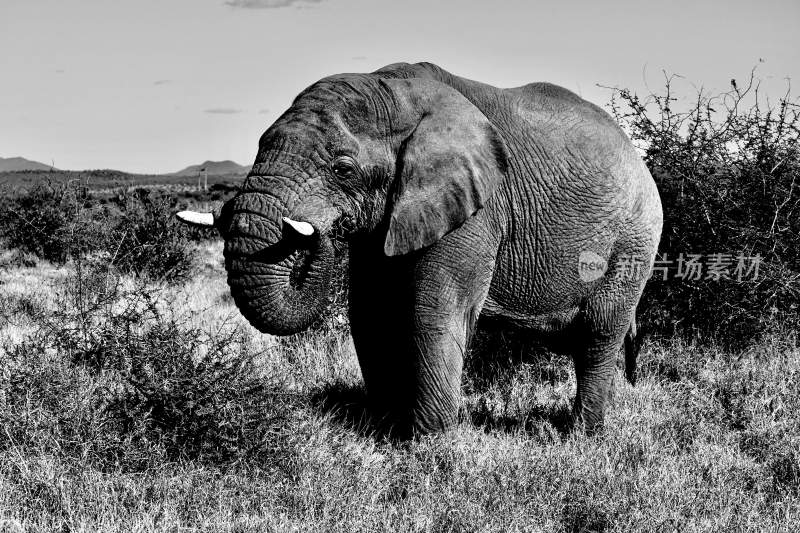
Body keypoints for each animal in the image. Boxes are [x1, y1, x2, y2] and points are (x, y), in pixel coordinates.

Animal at [180, 63, 664, 436]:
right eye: (260, 145)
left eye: (342, 169)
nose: (319, 232)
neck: (393, 89)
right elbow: (370, 311)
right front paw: (382, 428)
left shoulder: (476, 209)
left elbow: (432, 311)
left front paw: (429, 445)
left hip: (634, 242)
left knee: (599, 332)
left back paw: (581, 435)